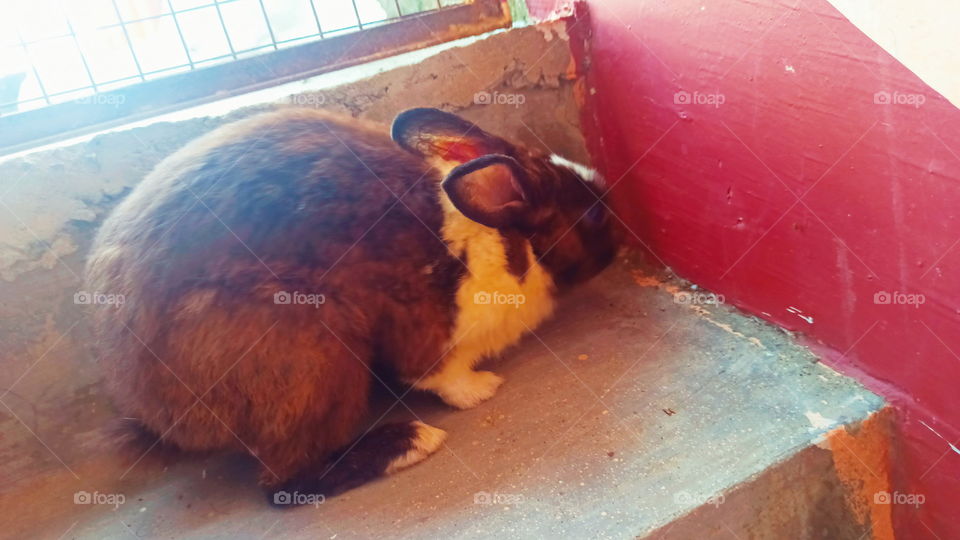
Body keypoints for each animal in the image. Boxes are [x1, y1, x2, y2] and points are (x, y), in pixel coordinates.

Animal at [84, 106, 622, 505]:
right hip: (312, 352)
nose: (620, 240)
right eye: (593, 216)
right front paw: (480, 390)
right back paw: (411, 441)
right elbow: (437, 375)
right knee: (285, 483)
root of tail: (157, 421)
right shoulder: (427, 330)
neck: (505, 241)